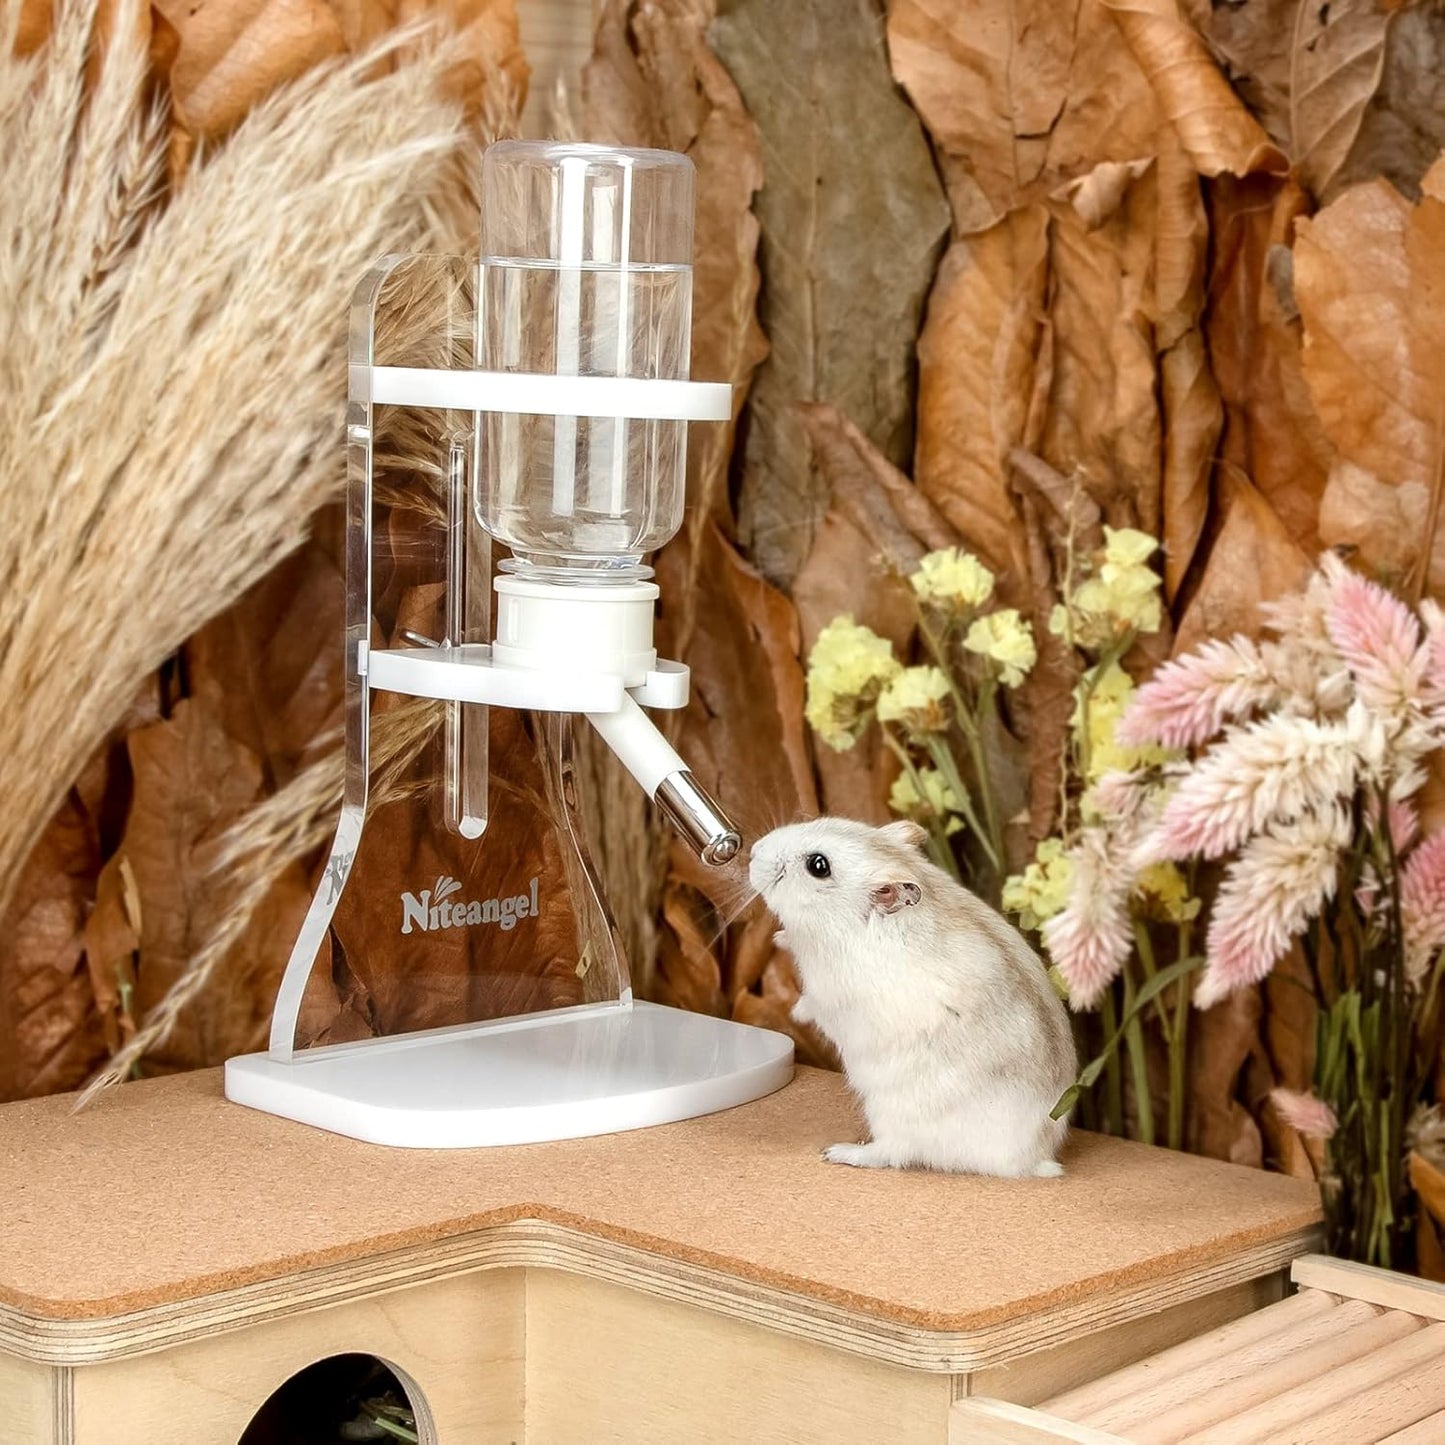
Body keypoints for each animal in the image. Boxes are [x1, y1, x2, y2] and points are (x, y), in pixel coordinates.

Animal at [749, 817, 1076, 1179]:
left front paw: (795, 1011)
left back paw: (838, 1152)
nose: (752, 852)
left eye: (818, 866)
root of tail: (1034, 1160)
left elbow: (813, 1006)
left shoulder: (829, 995)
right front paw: (780, 938)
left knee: (893, 1153)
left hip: (893, 1115)